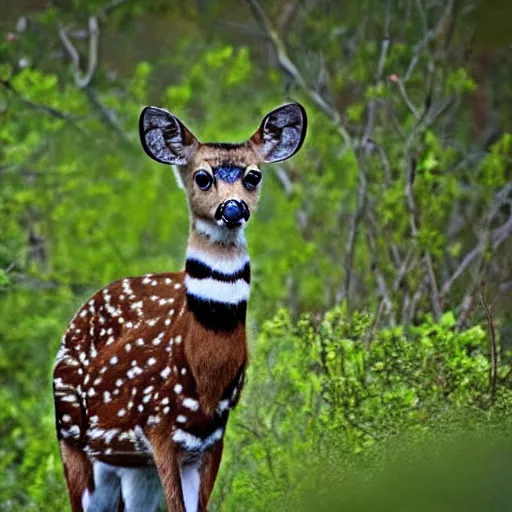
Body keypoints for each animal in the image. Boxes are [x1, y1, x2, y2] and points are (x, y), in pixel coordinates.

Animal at [53, 102, 306, 510]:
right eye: (202, 177)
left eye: (253, 176)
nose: (232, 208)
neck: (202, 374)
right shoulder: (158, 424)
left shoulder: (213, 434)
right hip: (72, 436)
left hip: (132, 466)